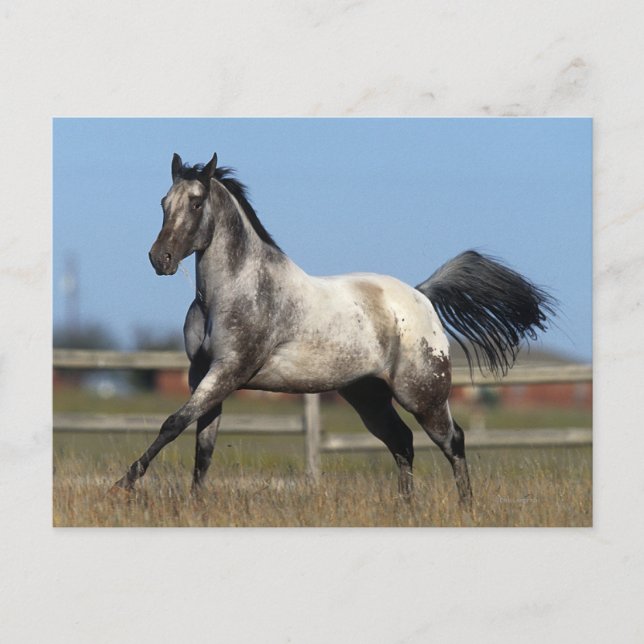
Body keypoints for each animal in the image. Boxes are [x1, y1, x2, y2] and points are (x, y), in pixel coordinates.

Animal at [112, 152, 554, 506]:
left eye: (197, 201)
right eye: (164, 202)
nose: (160, 258)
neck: (233, 292)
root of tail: (421, 295)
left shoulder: (228, 371)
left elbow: (173, 424)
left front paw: (123, 485)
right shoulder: (202, 375)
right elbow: (202, 446)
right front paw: (195, 506)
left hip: (422, 395)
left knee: (452, 440)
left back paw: (466, 507)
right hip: (367, 396)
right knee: (402, 443)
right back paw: (405, 509)